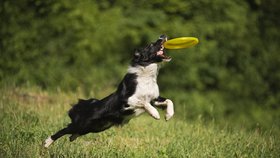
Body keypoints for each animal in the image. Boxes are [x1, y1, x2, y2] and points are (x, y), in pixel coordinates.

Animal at [43, 34, 175, 148]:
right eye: (151, 45)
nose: (163, 35)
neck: (146, 75)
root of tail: (86, 105)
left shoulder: (154, 99)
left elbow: (169, 101)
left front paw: (168, 115)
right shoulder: (127, 99)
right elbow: (144, 102)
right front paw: (155, 114)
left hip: (95, 127)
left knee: (72, 134)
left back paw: (72, 138)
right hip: (82, 124)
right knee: (63, 130)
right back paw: (46, 143)